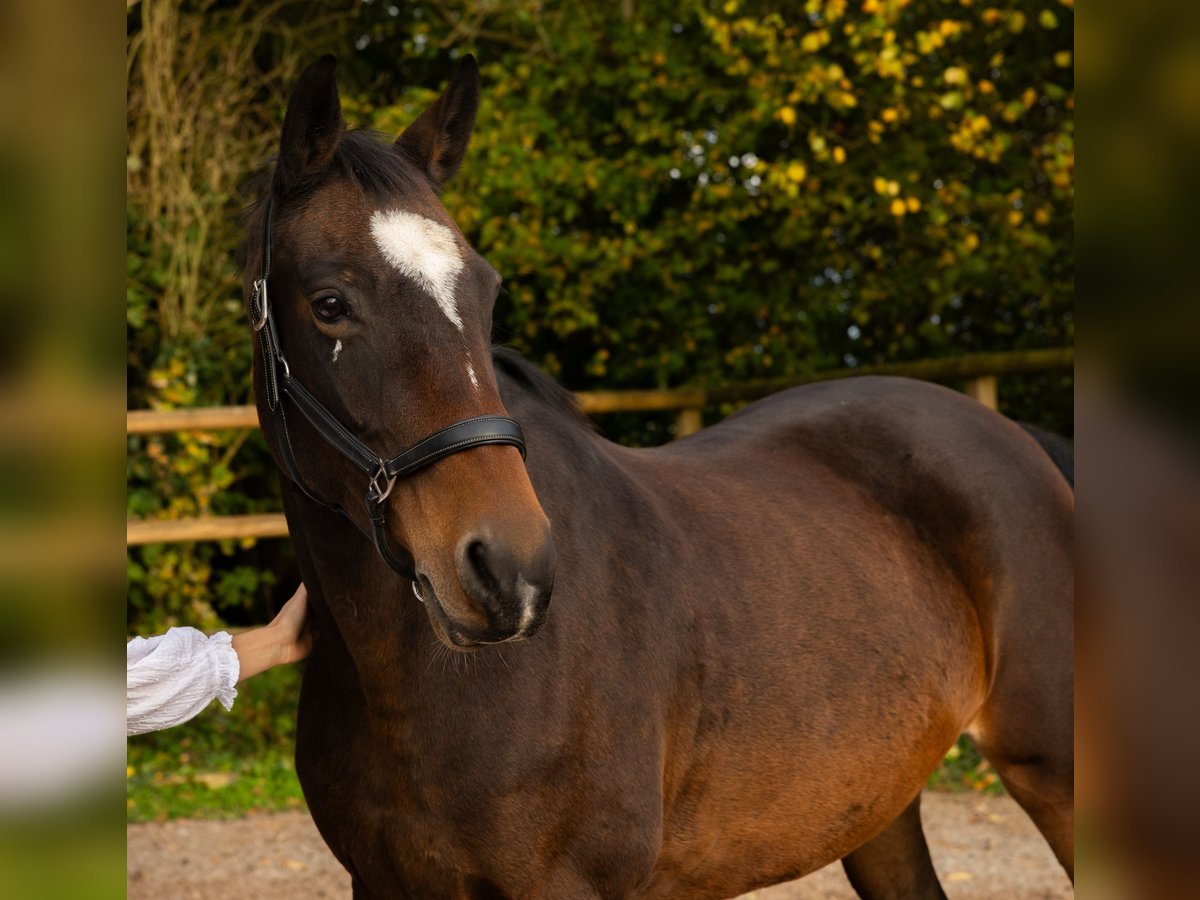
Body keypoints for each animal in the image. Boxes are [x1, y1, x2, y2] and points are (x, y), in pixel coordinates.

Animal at [248, 56, 1075, 900]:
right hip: (880, 805)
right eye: (330, 303)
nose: (509, 572)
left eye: (487, 291)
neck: (406, 687)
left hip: (1057, 771)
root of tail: (1019, 441)